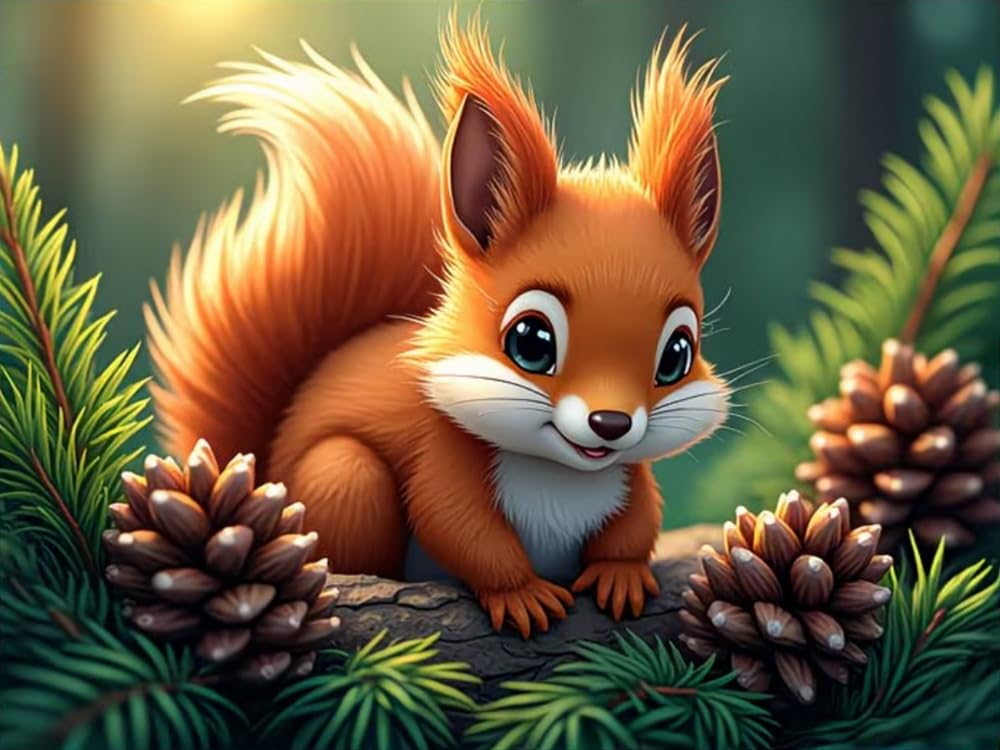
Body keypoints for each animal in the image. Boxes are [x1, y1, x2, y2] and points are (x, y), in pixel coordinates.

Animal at [146, 13, 731, 638]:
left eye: (677, 353)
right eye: (530, 342)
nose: (612, 423)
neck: (561, 472)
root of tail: (263, 469)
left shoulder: (630, 476)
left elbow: (638, 521)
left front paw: (620, 575)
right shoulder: (441, 455)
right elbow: (458, 525)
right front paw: (521, 593)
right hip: (344, 476)